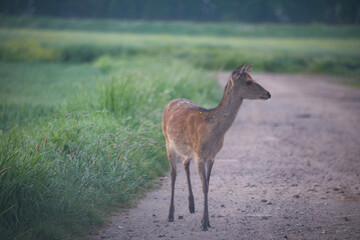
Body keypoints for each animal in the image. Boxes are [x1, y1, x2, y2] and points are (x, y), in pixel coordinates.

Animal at [162, 63, 272, 231]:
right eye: (248, 81)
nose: (268, 93)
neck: (213, 132)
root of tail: (170, 102)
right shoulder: (200, 154)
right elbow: (204, 186)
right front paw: (204, 223)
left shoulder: (211, 155)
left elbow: (208, 184)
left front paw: (206, 221)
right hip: (168, 141)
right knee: (173, 174)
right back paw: (170, 214)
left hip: (187, 149)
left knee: (185, 164)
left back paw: (191, 206)